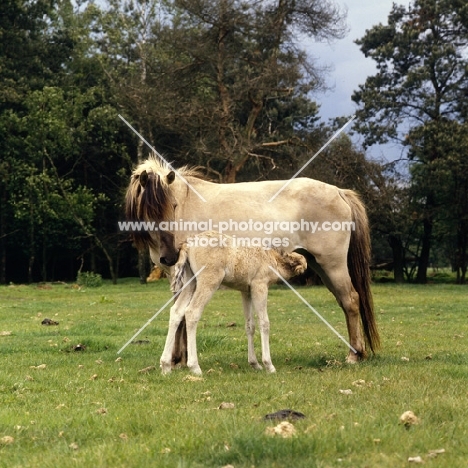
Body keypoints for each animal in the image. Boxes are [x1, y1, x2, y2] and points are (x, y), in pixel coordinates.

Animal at [159, 232, 308, 374]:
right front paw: (268, 365)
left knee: (176, 311)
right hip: (209, 279)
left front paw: (255, 363)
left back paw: (166, 365)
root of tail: (188, 245)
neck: (273, 260)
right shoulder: (259, 285)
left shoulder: (246, 291)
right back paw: (194, 367)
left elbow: (250, 325)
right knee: (192, 311)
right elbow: (264, 323)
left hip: (190, 282)